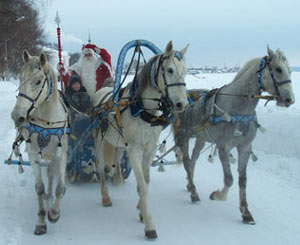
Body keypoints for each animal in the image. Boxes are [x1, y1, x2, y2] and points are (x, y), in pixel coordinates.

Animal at [10, 50, 69, 235]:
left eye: (37, 81)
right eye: (20, 78)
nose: (17, 116)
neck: (47, 122)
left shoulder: (61, 155)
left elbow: (60, 187)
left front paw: (54, 213)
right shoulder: (34, 154)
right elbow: (40, 188)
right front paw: (42, 220)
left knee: (51, 174)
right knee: (48, 175)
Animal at [92, 40, 189, 239]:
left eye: (185, 70)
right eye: (169, 70)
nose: (182, 104)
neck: (143, 109)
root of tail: (101, 91)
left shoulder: (150, 148)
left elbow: (146, 180)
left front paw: (141, 210)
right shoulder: (135, 149)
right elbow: (143, 186)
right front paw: (149, 225)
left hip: (119, 141)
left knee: (116, 157)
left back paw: (116, 177)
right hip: (100, 139)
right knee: (100, 166)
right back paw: (106, 195)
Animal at [175, 47, 294, 225]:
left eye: (290, 70)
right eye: (278, 69)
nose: (290, 99)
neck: (238, 109)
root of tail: (188, 102)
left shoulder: (245, 147)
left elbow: (242, 180)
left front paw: (245, 212)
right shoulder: (223, 147)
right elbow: (229, 179)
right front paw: (217, 195)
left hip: (201, 139)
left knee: (193, 160)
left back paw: (191, 185)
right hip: (185, 136)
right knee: (186, 161)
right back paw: (194, 193)